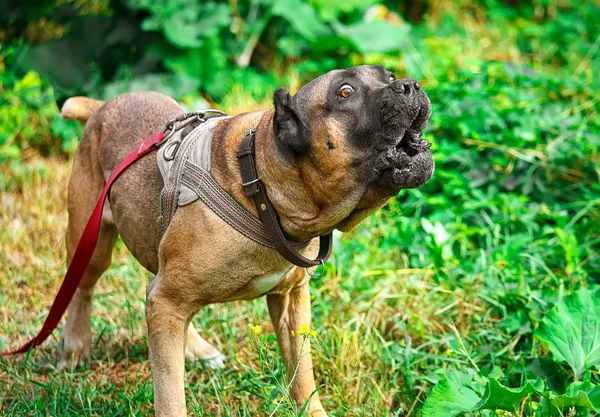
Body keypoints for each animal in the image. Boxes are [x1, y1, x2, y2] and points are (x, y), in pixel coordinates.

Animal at [58, 63, 434, 414]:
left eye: (389, 76)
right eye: (345, 92)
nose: (410, 85)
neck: (259, 187)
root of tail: (102, 107)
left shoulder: (291, 301)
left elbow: (302, 374)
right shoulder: (168, 300)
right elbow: (170, 394)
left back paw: (194, 347)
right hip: (92, 245)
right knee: (82, 289)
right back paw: (75, 347)